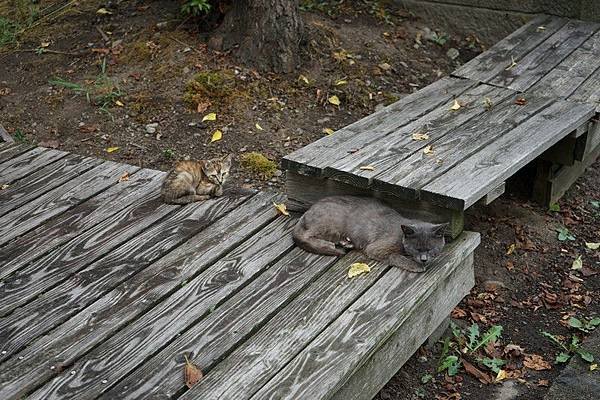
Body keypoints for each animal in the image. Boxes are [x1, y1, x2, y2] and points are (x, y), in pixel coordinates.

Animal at [292, 196, 448, 274]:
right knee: (304, 235)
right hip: (330, 223)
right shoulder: (376, 248)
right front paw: (415, 265)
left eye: (431, 249)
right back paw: (330, 245)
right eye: (416, 249)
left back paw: (346, 242)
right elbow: (395, 256)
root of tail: (308, 211)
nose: (423, 259)